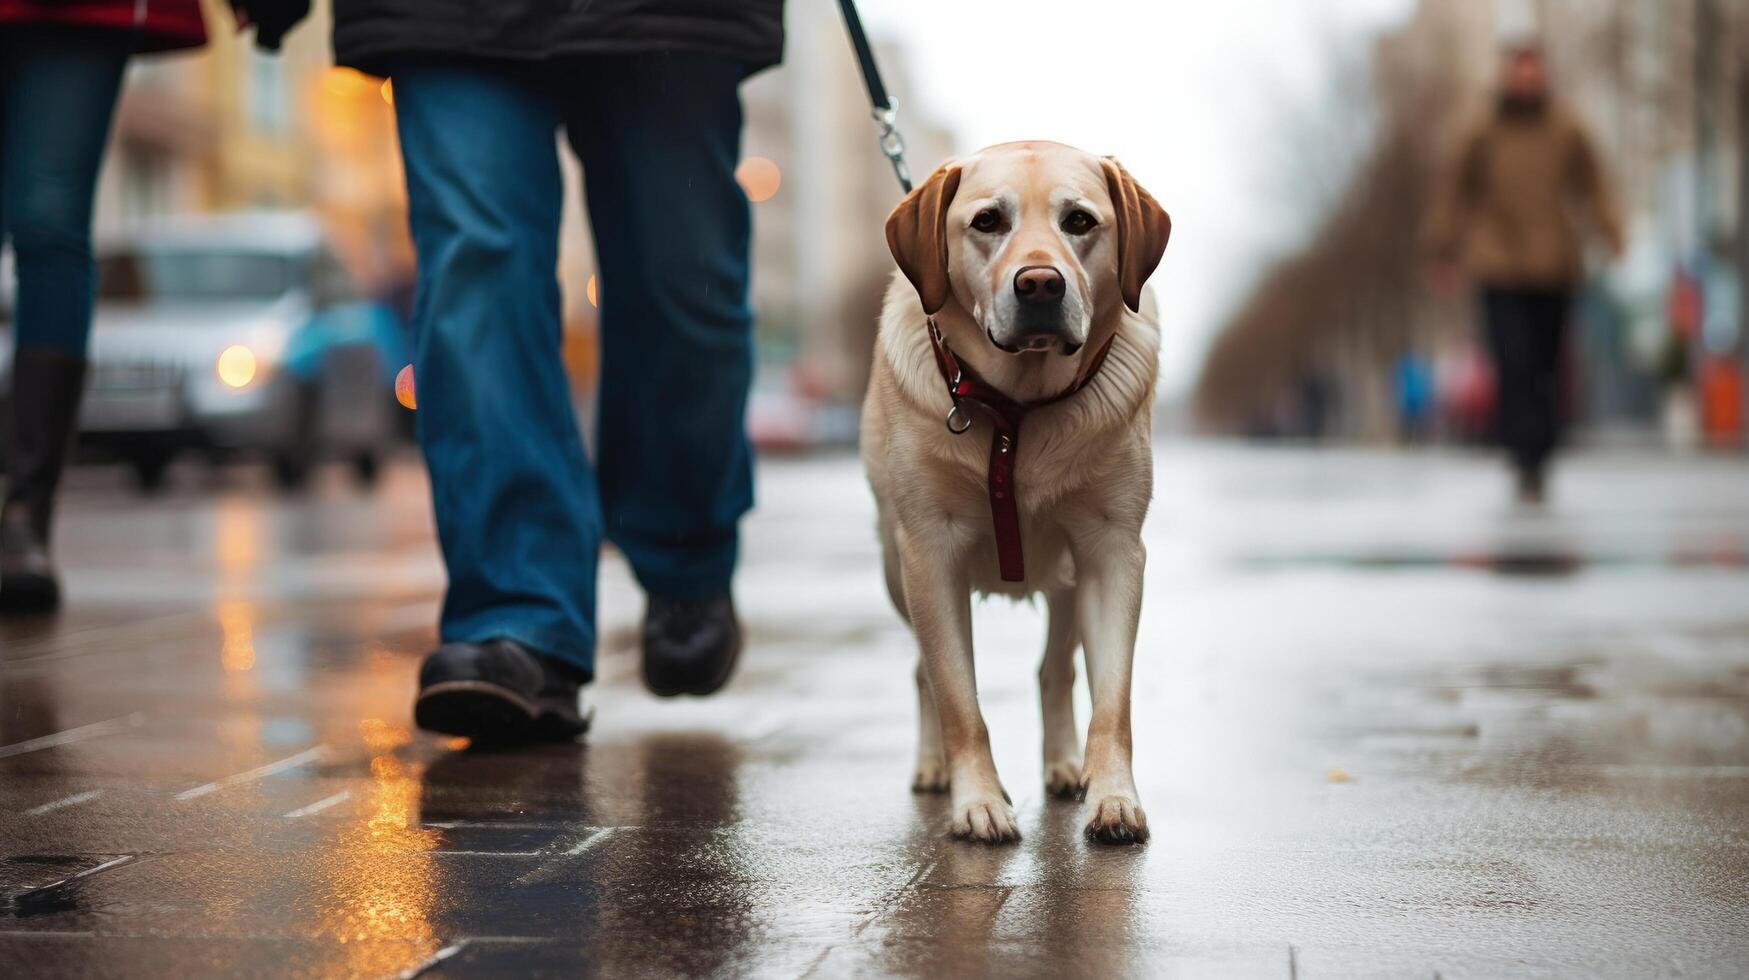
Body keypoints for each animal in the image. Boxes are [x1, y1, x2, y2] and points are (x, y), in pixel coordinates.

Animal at [864, 141, 1168, 847]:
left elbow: (1112, 699)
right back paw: (933, 768)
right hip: (894, 569)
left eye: (1079, 221)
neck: (1017, 413)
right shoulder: (929, 555)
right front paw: (979, 804)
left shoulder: (1113, 551)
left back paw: (1064, 767)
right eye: (987, 221)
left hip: (1066, 579)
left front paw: (1113, 797)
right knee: (922, 672)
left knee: (1056, 670)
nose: (1040, 284)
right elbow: (958, 699)